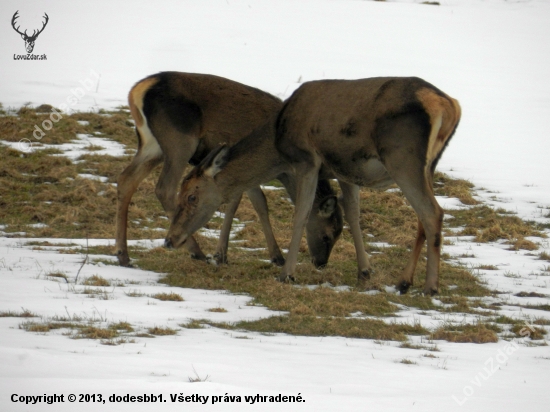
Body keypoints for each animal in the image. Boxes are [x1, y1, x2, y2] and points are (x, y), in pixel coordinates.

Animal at [115, 72, 344, 268]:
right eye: (328, 235)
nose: (321, 263)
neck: (284, 167)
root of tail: (137, 91)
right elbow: (253, 203)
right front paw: (268, 256)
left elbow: (253, 203)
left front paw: (228, 254)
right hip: (180, 141)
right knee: (165, 188)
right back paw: (196, 251)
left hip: (152, 145)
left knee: (126, 179)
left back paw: (123, 254)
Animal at [166, 76, 464, 296]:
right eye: (179, 194)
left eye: (191, 196)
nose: (170, 240)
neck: (278, 141)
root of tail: (450, 106)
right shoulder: (345, 170)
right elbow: (353, 214)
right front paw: (364, 272)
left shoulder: (307, 160)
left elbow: (301, 213)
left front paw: (286, 273)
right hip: (427, 165)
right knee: (423, 217)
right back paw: (404, 282)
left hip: (402, 157)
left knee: (432, 213)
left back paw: (430, 287)